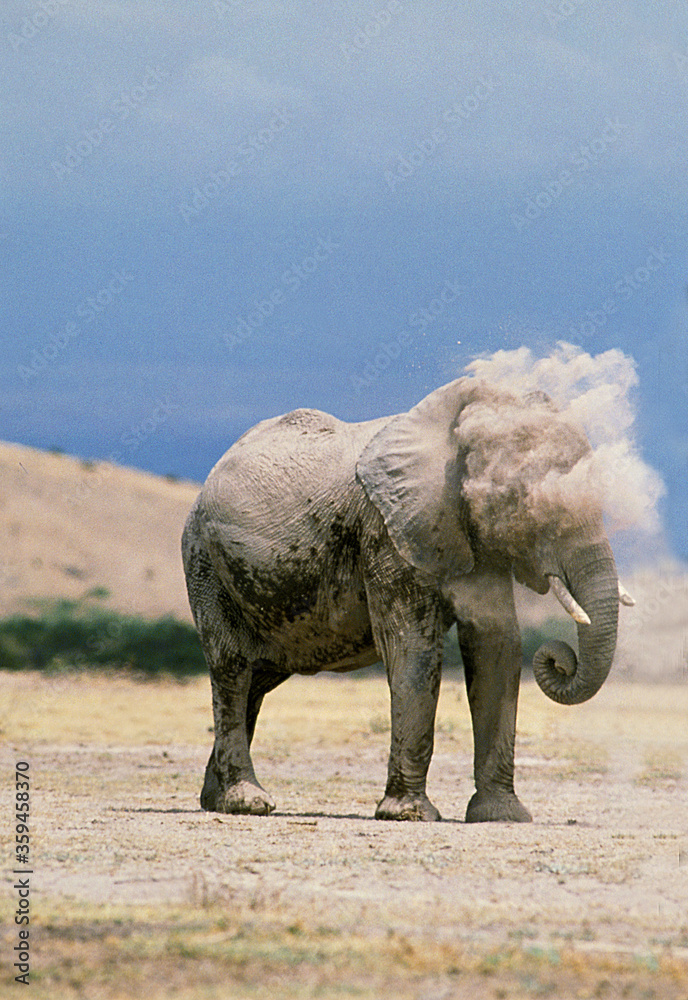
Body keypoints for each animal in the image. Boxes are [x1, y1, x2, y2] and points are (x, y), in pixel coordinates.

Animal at [182, 377, 634, 822]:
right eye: (524, 500)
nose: (559, 657)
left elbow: (496, 645)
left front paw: (502, 815)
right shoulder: (384, 533)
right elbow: (413, 650)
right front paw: (409, 813)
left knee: (258, 679)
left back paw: (215, 798)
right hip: (205, 562)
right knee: (233, 670)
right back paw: (246, 802)